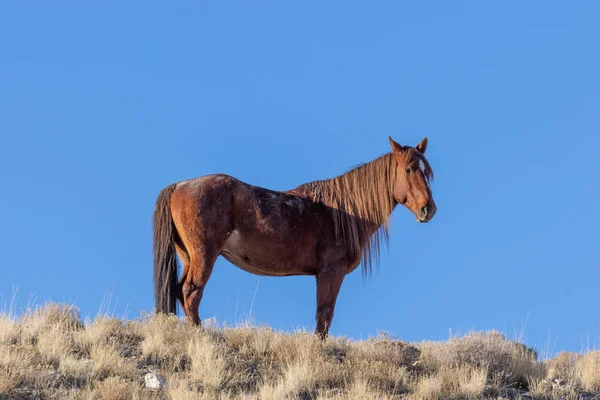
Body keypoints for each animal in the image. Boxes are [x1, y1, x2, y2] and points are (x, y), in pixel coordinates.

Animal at [154, 137, 436, 338]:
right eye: (409, 169)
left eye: (427, 172)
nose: (428, 209)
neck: (343, 212)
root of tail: (180, 186)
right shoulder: (330, 272)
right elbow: (324, 316)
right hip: (204, 254)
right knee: (191, 291)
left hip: (188, 256)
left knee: (180, 290)